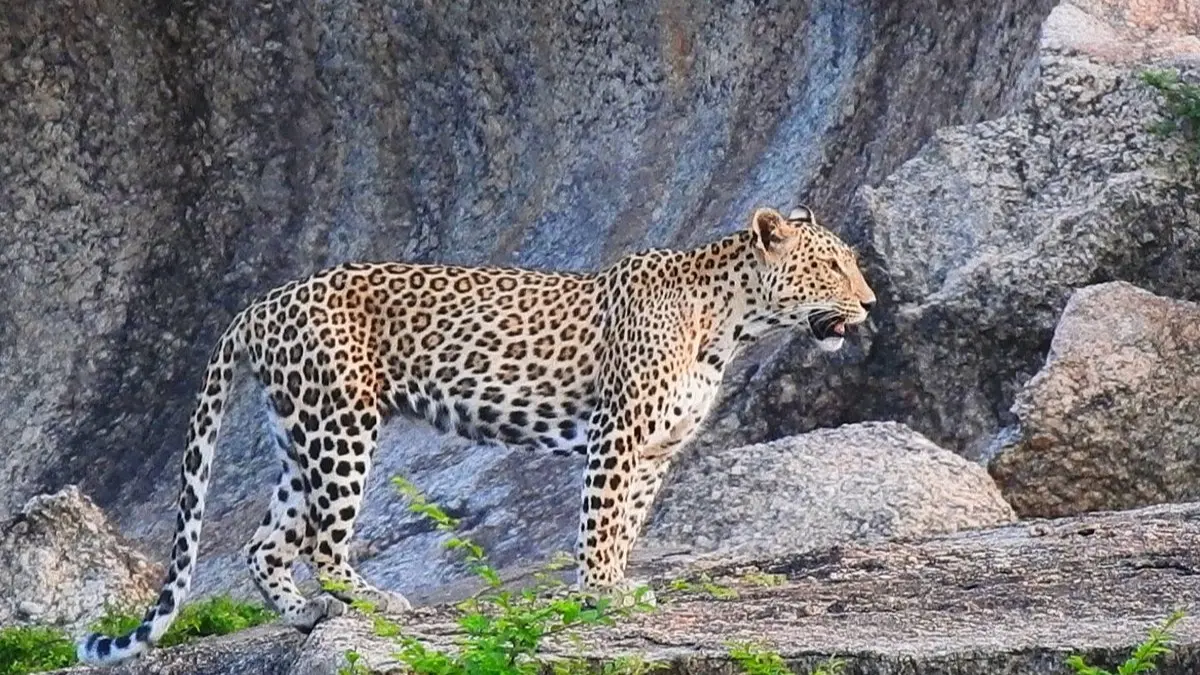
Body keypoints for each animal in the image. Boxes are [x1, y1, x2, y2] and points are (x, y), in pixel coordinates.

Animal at [78, 205, 875, 663]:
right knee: (324, 543)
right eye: (834, 265)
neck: (733, 322)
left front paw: (618, 585)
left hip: (299, 432)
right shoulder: (616, 437)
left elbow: (626, 525)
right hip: (341, 425)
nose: (869, 303)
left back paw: (307, 615)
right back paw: (373, 603)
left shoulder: (655, 451)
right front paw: (600, 594)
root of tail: (260, 302)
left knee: (266, 542)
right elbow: (600, 522)